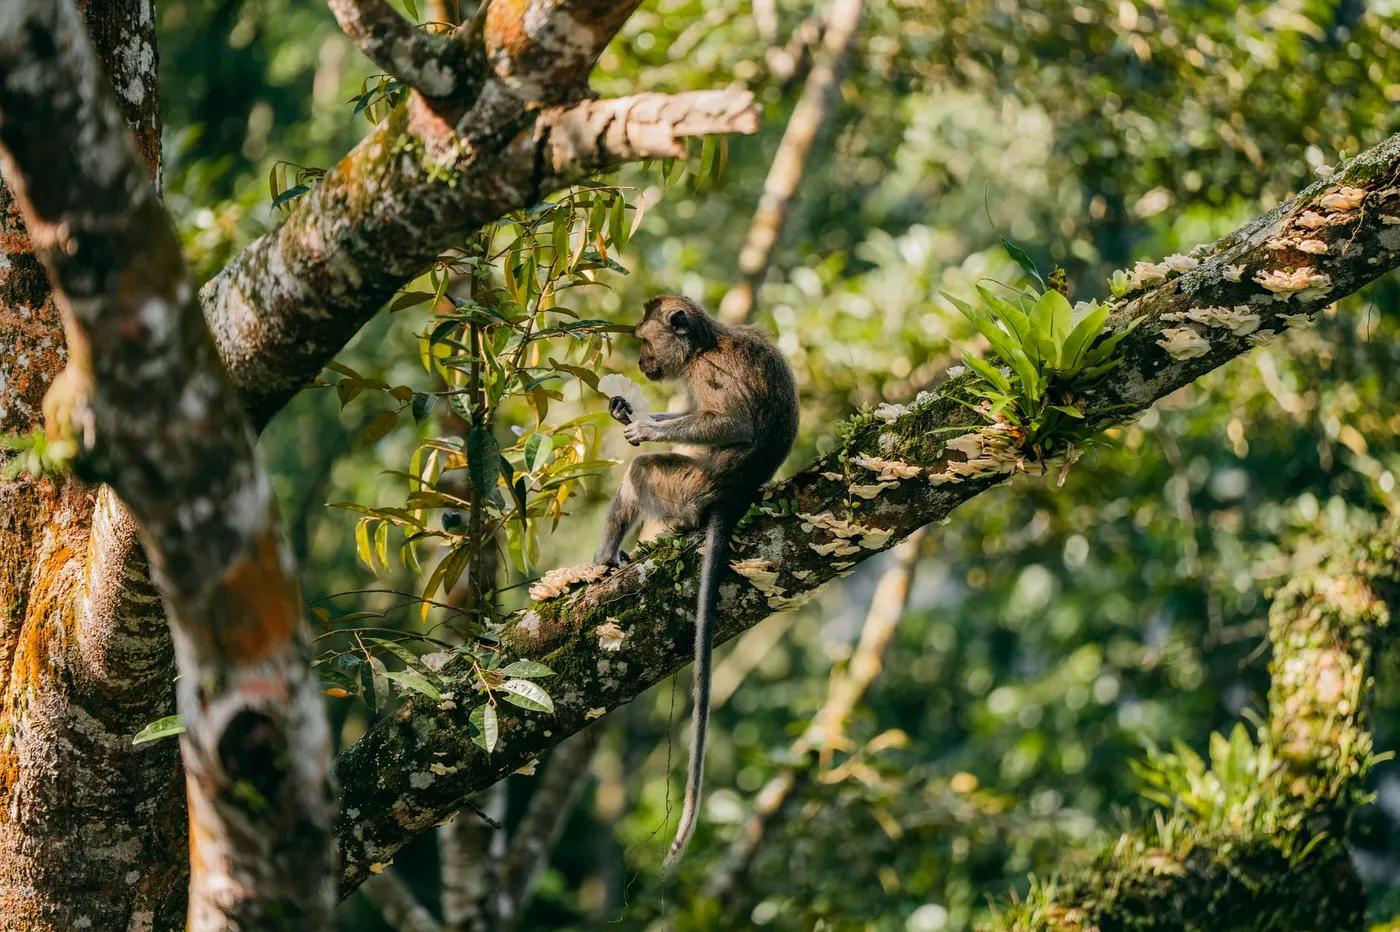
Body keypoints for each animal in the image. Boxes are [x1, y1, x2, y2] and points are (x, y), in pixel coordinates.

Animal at [594, 295, 799, 870]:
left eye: (645, 342)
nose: (642, 364)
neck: (707, 343)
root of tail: (730, 497)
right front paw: (629, 408)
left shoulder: (710, 372)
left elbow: (730, 424)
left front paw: (647, 430)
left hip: (686, 491)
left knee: (644, 474)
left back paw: (603, 559)